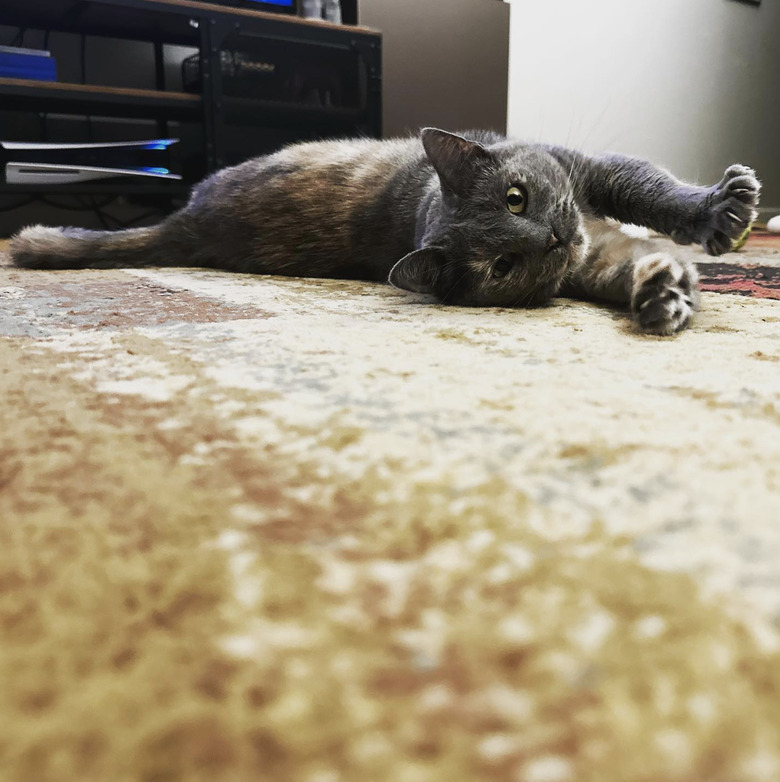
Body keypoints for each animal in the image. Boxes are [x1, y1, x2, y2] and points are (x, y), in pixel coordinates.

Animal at [9, 128, 760, 334]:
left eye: (517, 197)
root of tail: (186, 225)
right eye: (501, 269)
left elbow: (648, 189)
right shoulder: (587, 247)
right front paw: (670, 286)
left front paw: (714, 221)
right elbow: (628, 245)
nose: (549, 241)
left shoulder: (590, 179)